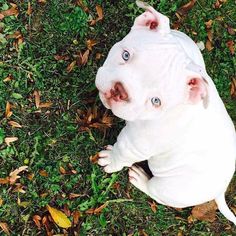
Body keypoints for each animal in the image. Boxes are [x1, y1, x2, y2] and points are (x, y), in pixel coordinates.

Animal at [94, 0, 236, 225]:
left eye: (156, 101)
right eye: (125, 55)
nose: (120, 91)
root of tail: (220, 191)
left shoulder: (133, 145)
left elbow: (120, 154)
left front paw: (110, 160)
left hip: (167, 188)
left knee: (154, 191)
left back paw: (140, 179)